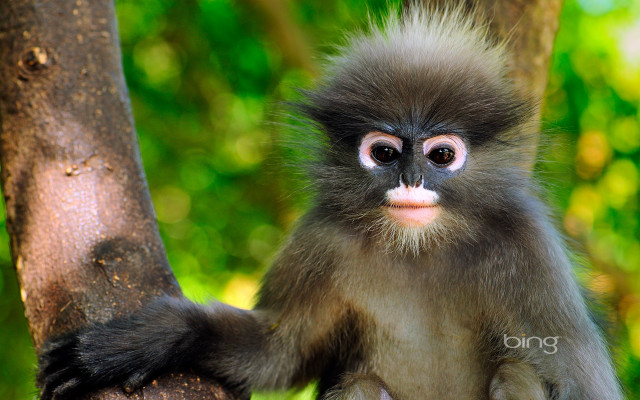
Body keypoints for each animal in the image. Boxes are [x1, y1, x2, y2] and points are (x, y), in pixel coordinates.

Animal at [37, 5, 622, 400]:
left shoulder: (529, 248)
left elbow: (582, 382)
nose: (411, 180)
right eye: (384, 152)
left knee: (518, 371)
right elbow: (277, 353)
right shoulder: (319, 239)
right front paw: (150, 339)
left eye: (442, 155)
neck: (419, 247)